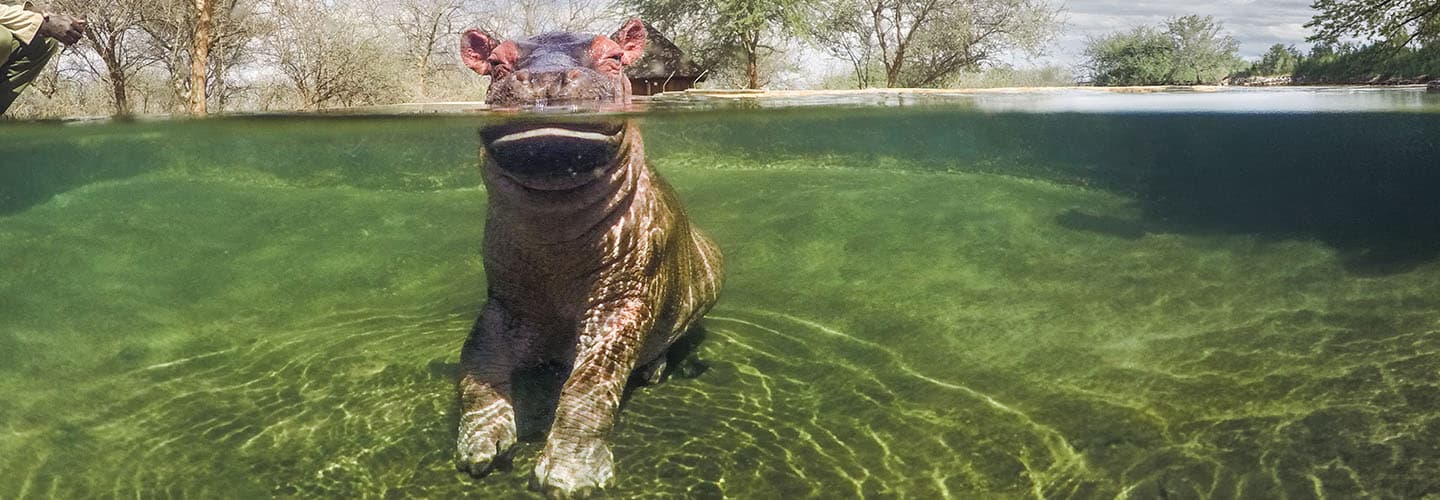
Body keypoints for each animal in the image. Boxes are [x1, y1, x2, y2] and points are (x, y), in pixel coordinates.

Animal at [453, 19, 725, 498]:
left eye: (613, 57)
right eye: (496, 63)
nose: (544, 79)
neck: (553, 229)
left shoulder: (623, 299)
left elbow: (592, 382)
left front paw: (569, 477)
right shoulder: (505, 302)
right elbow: (476, 361)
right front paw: (480, 446)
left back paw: (653, 371)